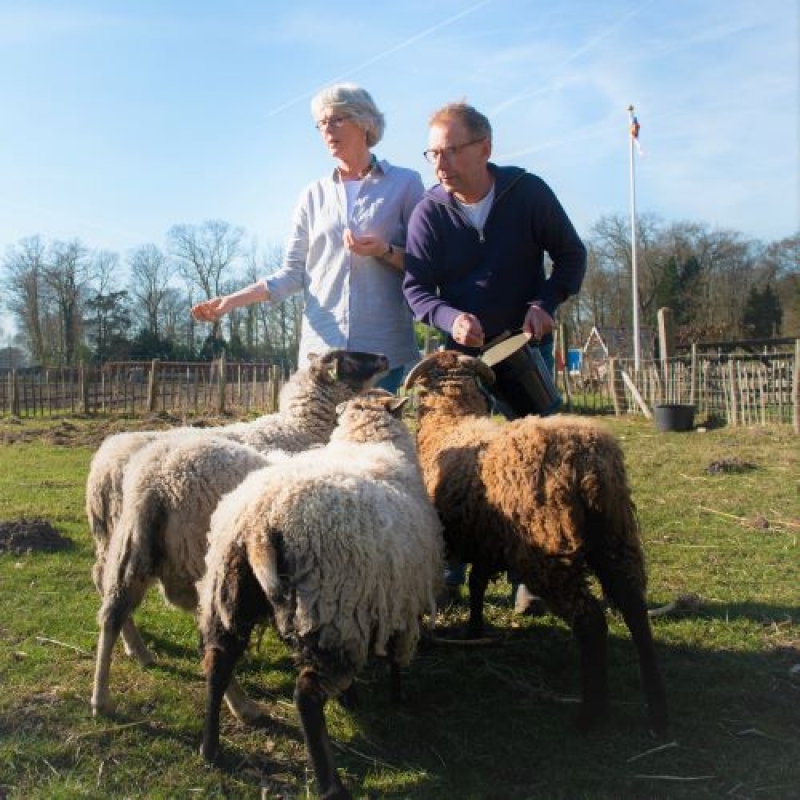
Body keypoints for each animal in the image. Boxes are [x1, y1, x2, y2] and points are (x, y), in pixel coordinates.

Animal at [195, 390, 444, 796]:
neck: (367, 440)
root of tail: (260, 525)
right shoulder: (400, 604)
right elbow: (396, 656)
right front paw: (395, 697)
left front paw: (352, 698)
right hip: (333, 613)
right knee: (307, 695)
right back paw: (332, 785)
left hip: (230, 595)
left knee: (217, 665)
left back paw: (210, 748)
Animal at [406, 352, 668, 736]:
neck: (451, 420)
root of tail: (587, 462)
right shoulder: (487, 539)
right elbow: (477, 584)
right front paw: (474, 629)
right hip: (616, 537)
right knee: (635, 610)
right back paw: (656, 709)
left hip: (548, 549)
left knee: (591, 622)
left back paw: (591, 714)